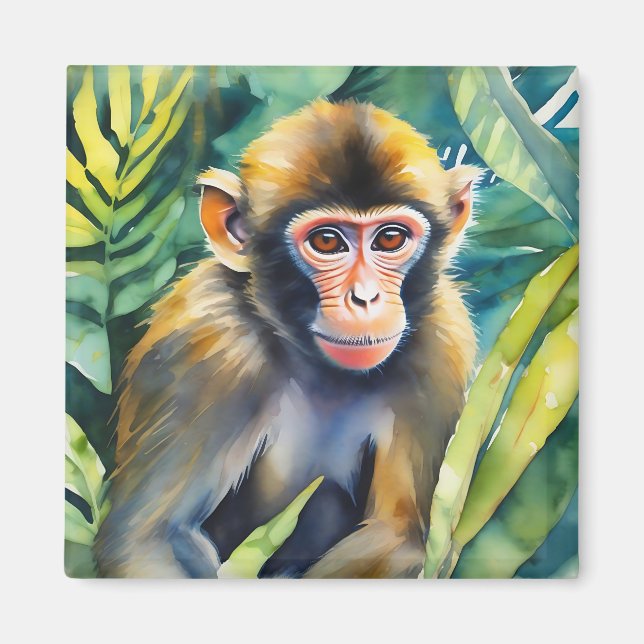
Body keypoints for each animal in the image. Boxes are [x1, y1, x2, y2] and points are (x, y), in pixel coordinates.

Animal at [94, 99, 478, 578]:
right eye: (327, 241)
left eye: (390, 238)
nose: (365, 298)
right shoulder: (207, 344)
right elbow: (150, 540)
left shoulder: (442, 342)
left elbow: (397, 535)